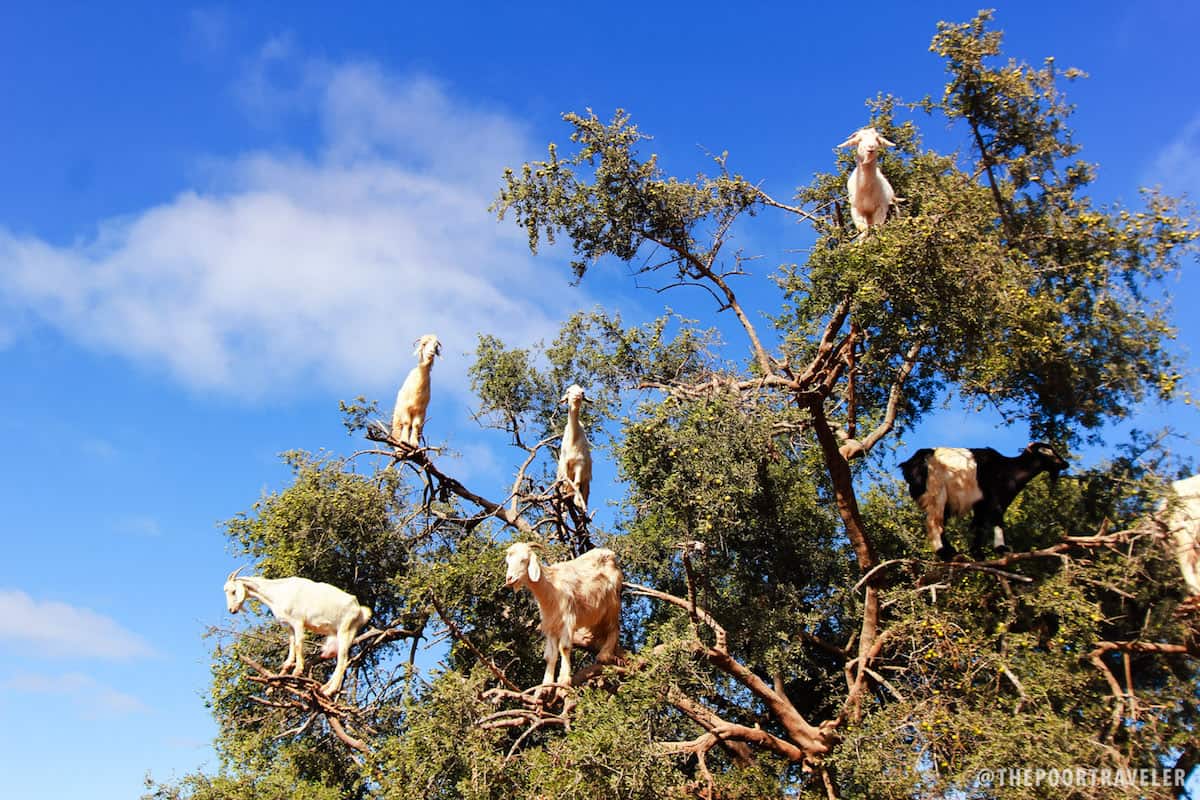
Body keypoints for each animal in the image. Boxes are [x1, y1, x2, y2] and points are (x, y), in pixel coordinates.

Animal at [223, 568, 372, 695]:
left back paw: (330, 690)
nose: (231, 610)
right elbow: (291, 648)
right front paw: (275, 683)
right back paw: (324, 688)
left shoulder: (298, 622)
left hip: (345, 629)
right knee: (341, 659)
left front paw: (297, 671)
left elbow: (298, 644)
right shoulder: (288, 626)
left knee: (343, 659)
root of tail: (360, 610)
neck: (277, 592)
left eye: (233, 591)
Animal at [501, 542, 624, 695]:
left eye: (524, 560)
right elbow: (550, 655)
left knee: (615, 628)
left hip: (613, 603)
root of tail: (610, 555)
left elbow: (564, 648)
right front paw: (546, 685)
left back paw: (605, 654)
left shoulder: (568, 619)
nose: (509, 579)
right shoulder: (551, 625)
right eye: (508, 561)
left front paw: (564, 679)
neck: (551, 587)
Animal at [902, 443, 1070, 563]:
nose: (1065, 464)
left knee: (941, 523)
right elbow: (997, 521)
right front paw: (1001, 548)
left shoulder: (981, 504)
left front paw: (978, 554)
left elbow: (979, 526)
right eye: (1047, 452)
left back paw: (953, 554)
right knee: (934, 522)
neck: (1009, 470)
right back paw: (945, 553)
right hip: (937, 492)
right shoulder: (995, 499)